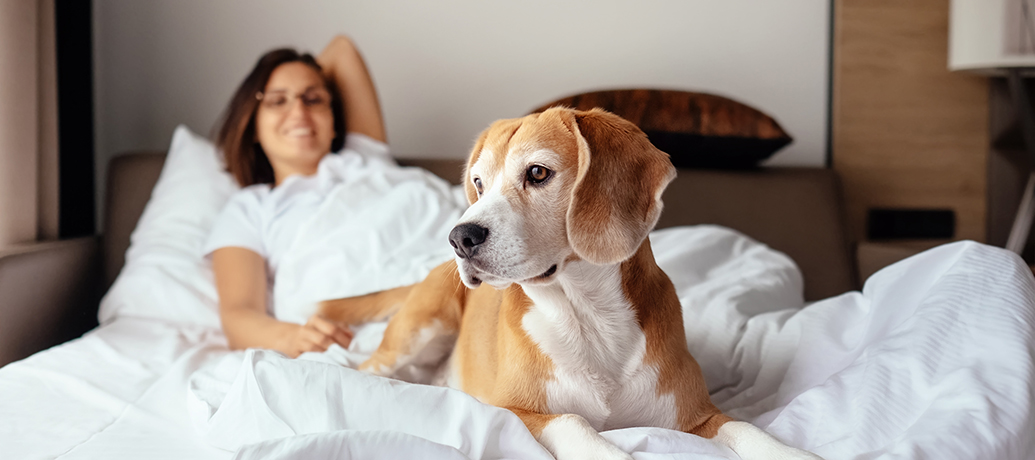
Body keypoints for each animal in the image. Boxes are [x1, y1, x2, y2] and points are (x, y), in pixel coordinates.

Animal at [318, 107, 819, 460]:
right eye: (478, 183)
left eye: (538, 173)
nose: (460, 238)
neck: (587, 315)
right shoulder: (510, 410)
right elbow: (572, 422)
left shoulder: (699, 415)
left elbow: (745, 427)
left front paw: (791, 452)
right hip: (417, 331)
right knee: (364, 366)